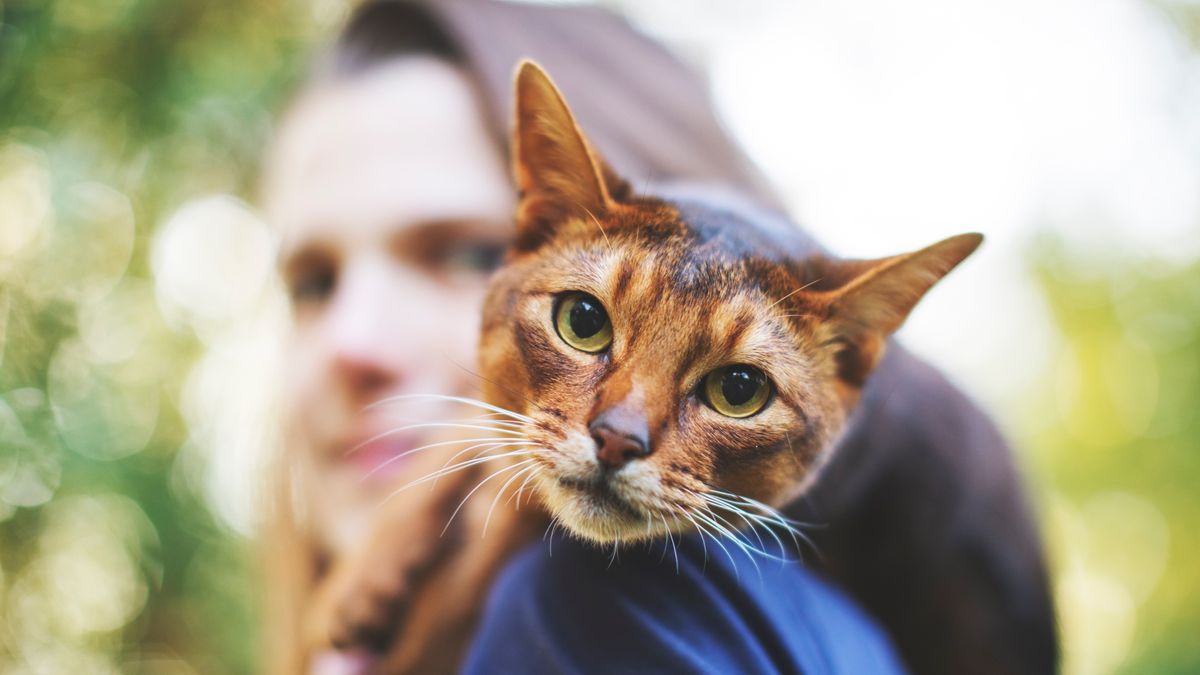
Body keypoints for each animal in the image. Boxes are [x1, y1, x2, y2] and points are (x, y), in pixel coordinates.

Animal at [309, 63, 1060, 672]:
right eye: (583, 321)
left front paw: (408, 636)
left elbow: (470, 590)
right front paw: (360, 581)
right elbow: (467, 428)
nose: (617, 440)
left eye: (739, 389)